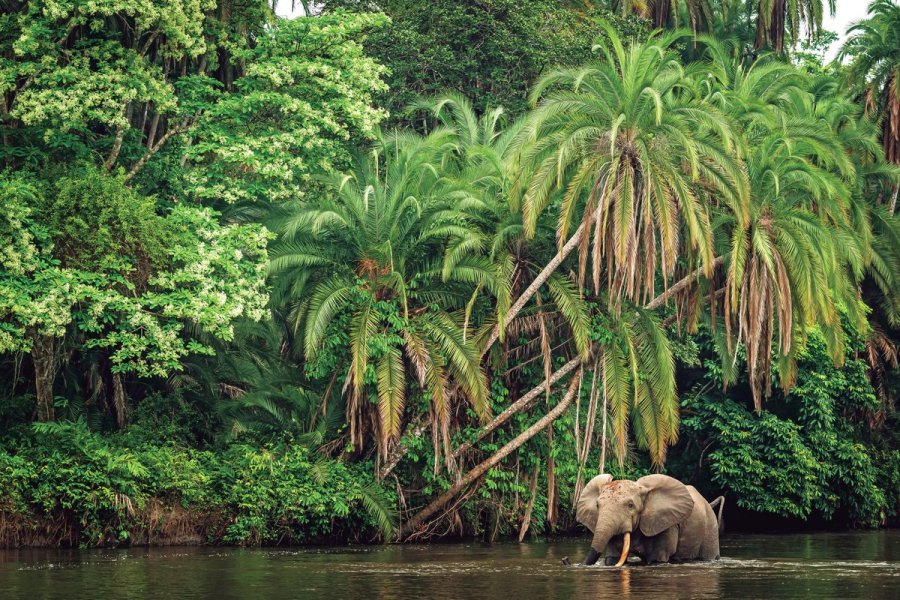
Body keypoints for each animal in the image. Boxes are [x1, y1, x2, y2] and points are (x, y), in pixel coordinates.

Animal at [576, 474, 724, 568]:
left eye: (630, 505)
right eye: (597, 505)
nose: (569, 561)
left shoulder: (667, 523)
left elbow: (658, 558)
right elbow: (612, 558)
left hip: (710, 527)